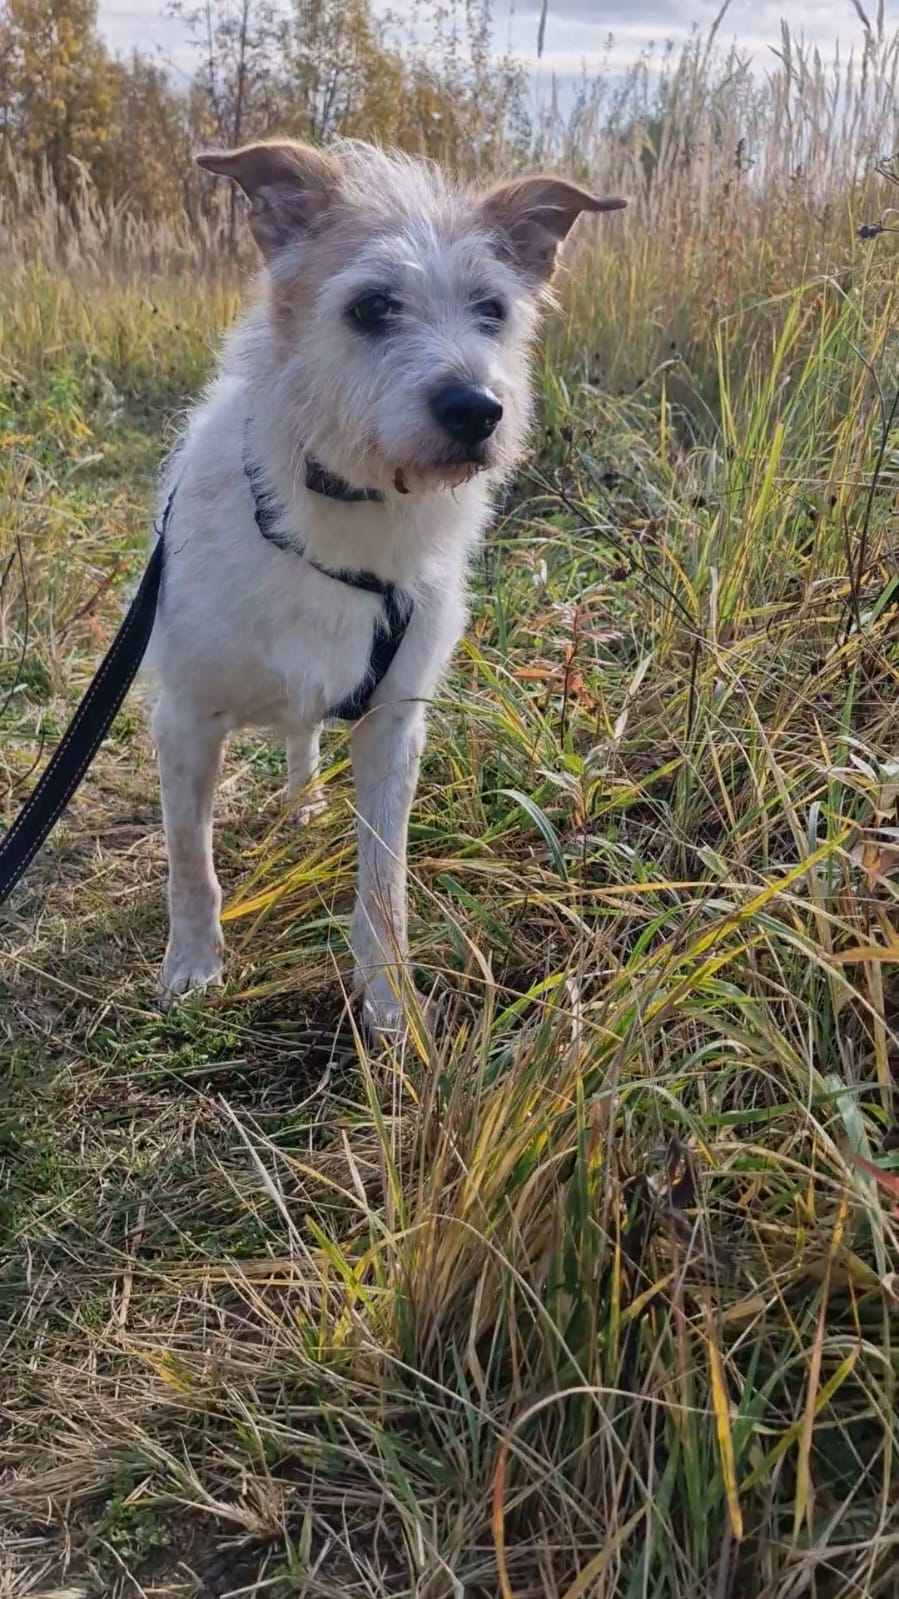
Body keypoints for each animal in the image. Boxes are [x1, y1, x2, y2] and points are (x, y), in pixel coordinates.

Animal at [146, 139, 624, 1033]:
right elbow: (191, 862)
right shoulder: (185, 721)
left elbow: (382, 887)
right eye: (371, 307)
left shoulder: (393, 729)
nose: (477, 409)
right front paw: (192, 962)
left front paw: (387, 998)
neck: (343, 510)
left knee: (303, 737)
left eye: (492, 309)